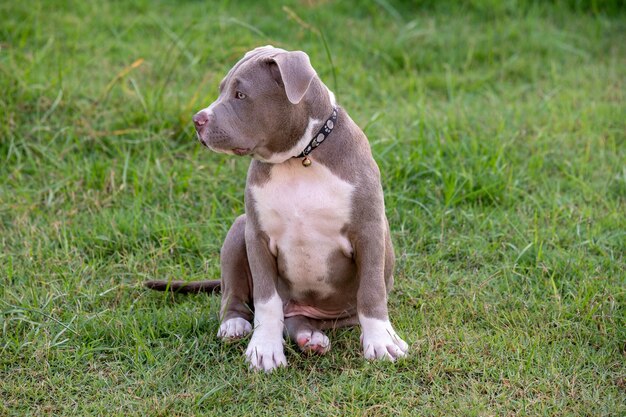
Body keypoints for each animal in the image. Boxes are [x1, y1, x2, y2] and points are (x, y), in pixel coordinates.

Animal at [147, 45, 410, 370]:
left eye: (241, 95)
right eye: (222, 89)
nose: (198, 119)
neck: (299, 158)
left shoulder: (368, 230)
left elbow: (372, 291)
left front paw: (382, 342)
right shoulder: (258, 236)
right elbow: (266, 302)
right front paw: (264, 349)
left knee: (302, 319)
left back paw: (311, 337)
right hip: (239, 228)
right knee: (237, 295)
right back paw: (236, 325)